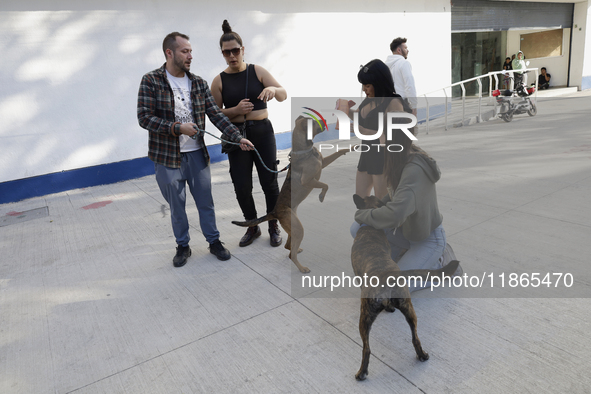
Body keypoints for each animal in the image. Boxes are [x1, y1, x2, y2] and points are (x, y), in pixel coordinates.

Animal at [232, 115, 352, 272]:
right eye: (313, 122)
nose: (325, 119)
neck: (304, 150)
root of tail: (274, 212)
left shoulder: (323, 163)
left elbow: (338, 152)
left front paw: (353, 148)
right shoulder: (308, 180)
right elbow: (325, 185)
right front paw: (321, 196)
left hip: (293, 227)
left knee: (288, 247)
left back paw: (297, 251)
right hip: (298, 228)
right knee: (291, 254)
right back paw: (302, 268)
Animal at [354, 194, 460, 382]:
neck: (370, 228)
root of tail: (387, 276)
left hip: (364, 318)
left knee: (366, 349)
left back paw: (362, 373)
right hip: (409, 310)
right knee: (415, 338)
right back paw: (422, 355)